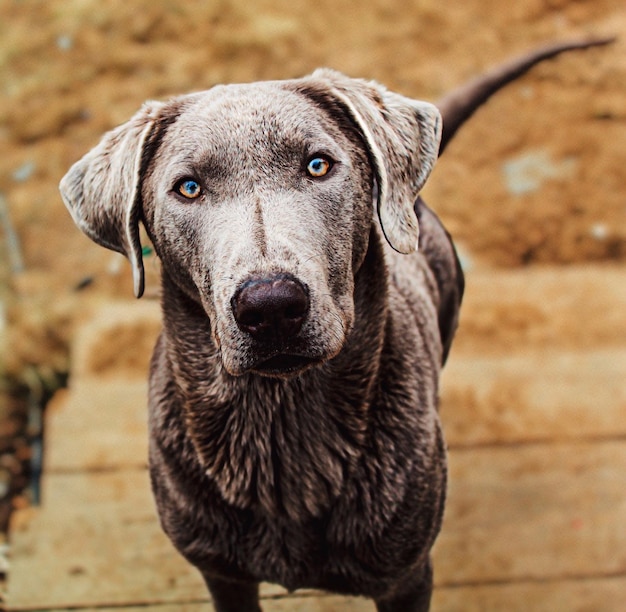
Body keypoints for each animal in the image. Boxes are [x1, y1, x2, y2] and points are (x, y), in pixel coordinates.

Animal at [59, 39, 608, 612]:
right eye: (188, 187)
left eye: (318, 165)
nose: (271, 306)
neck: (282, 427)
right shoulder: (222, 573)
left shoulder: (406, 578)